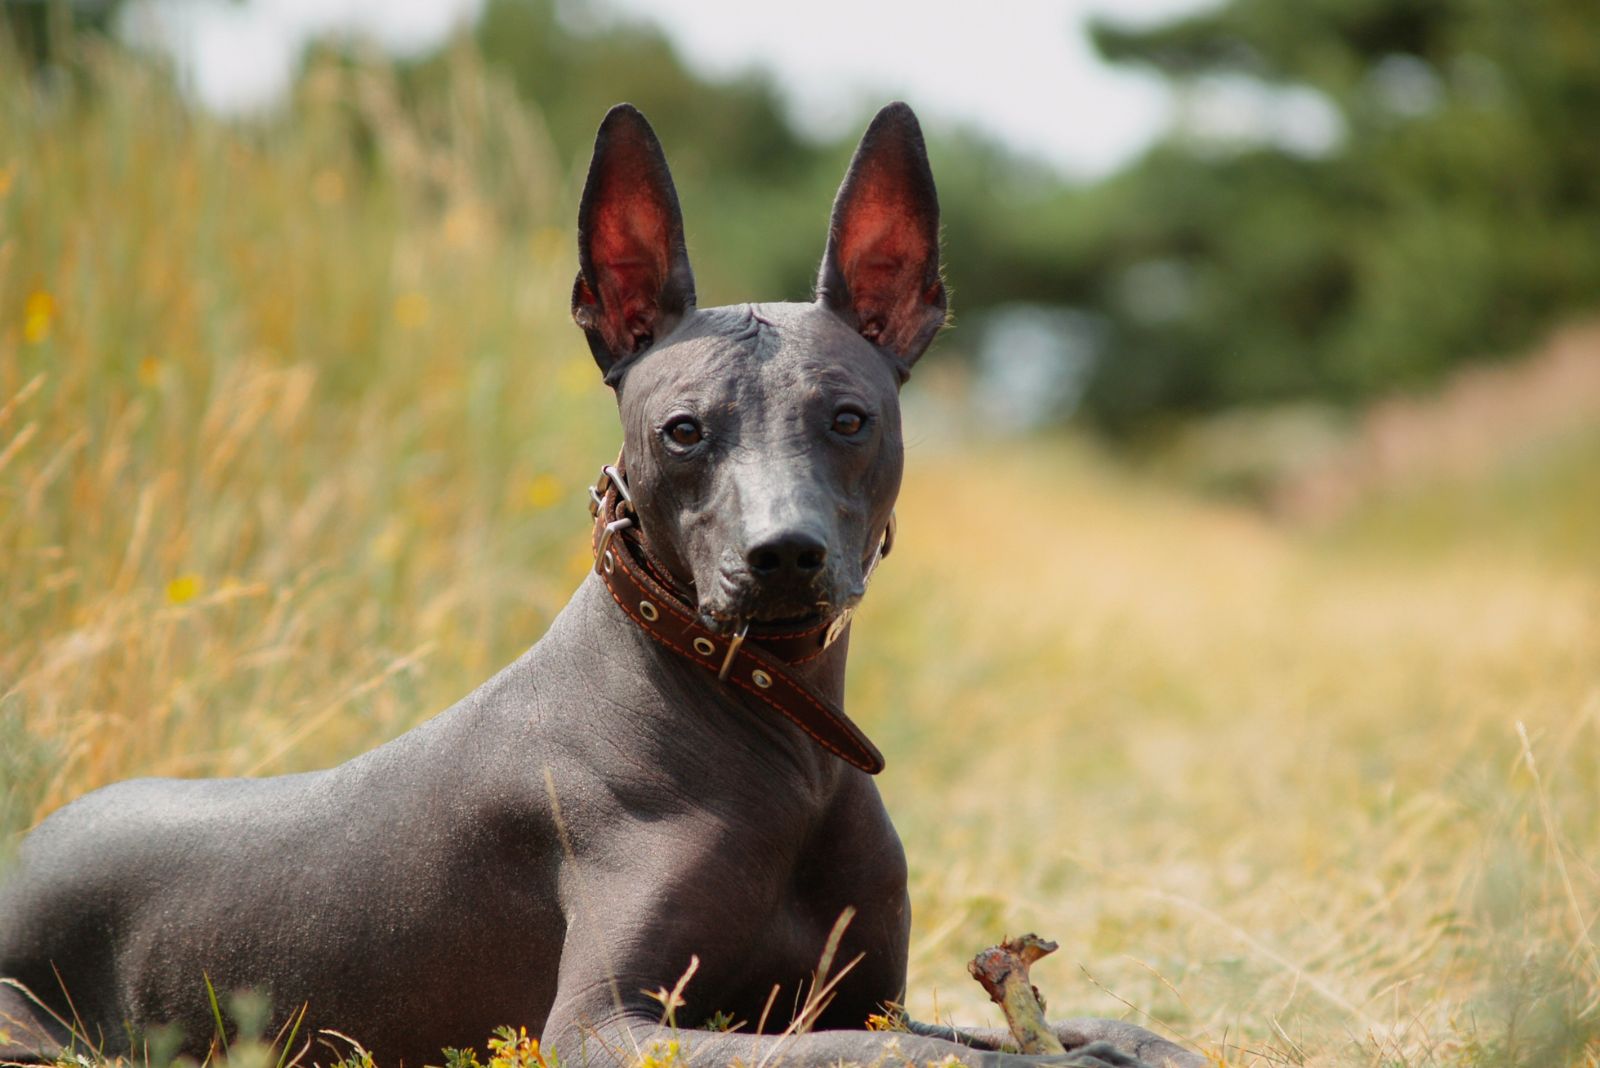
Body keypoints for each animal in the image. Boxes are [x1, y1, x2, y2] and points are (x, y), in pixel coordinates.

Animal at [0, 102, 1203, 1068]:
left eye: (850, 419)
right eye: (684, 431)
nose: (784, 554)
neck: (781, 746)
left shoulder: (866, 996)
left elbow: (1090, 1027)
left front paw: (1123, 1043)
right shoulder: (608, 1022)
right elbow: (899, 1056)